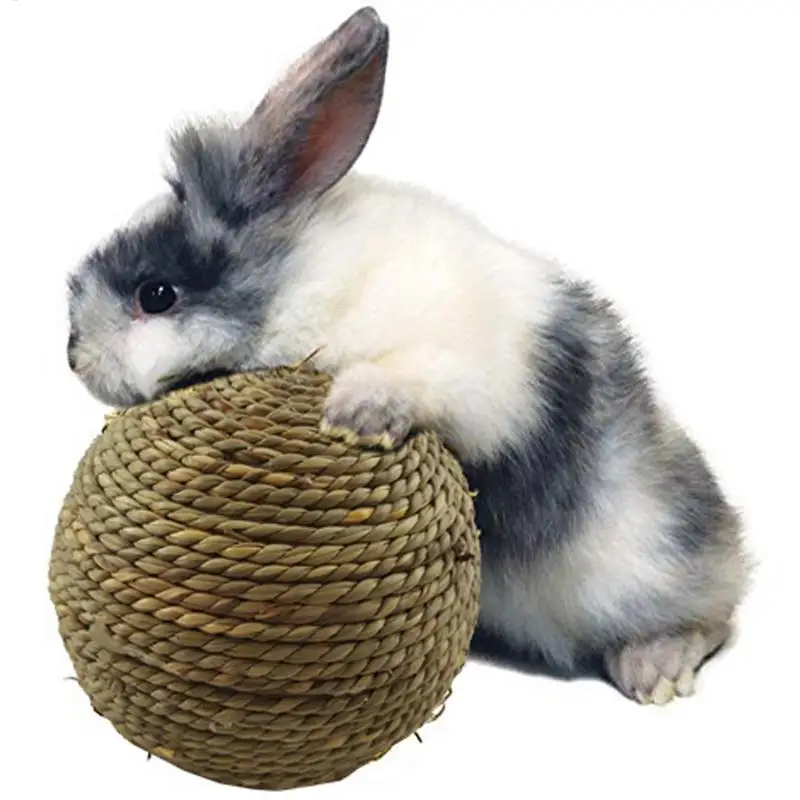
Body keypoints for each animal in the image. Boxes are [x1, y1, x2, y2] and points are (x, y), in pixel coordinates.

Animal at [65, 7, 750, 705]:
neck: (299, 279)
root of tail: (727, 541)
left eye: (156, 295)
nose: (74, 356)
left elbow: (416, 379)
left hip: (649, 565)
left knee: (712, 617)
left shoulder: (467, 368)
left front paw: (355, 414)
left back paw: (656, 669)